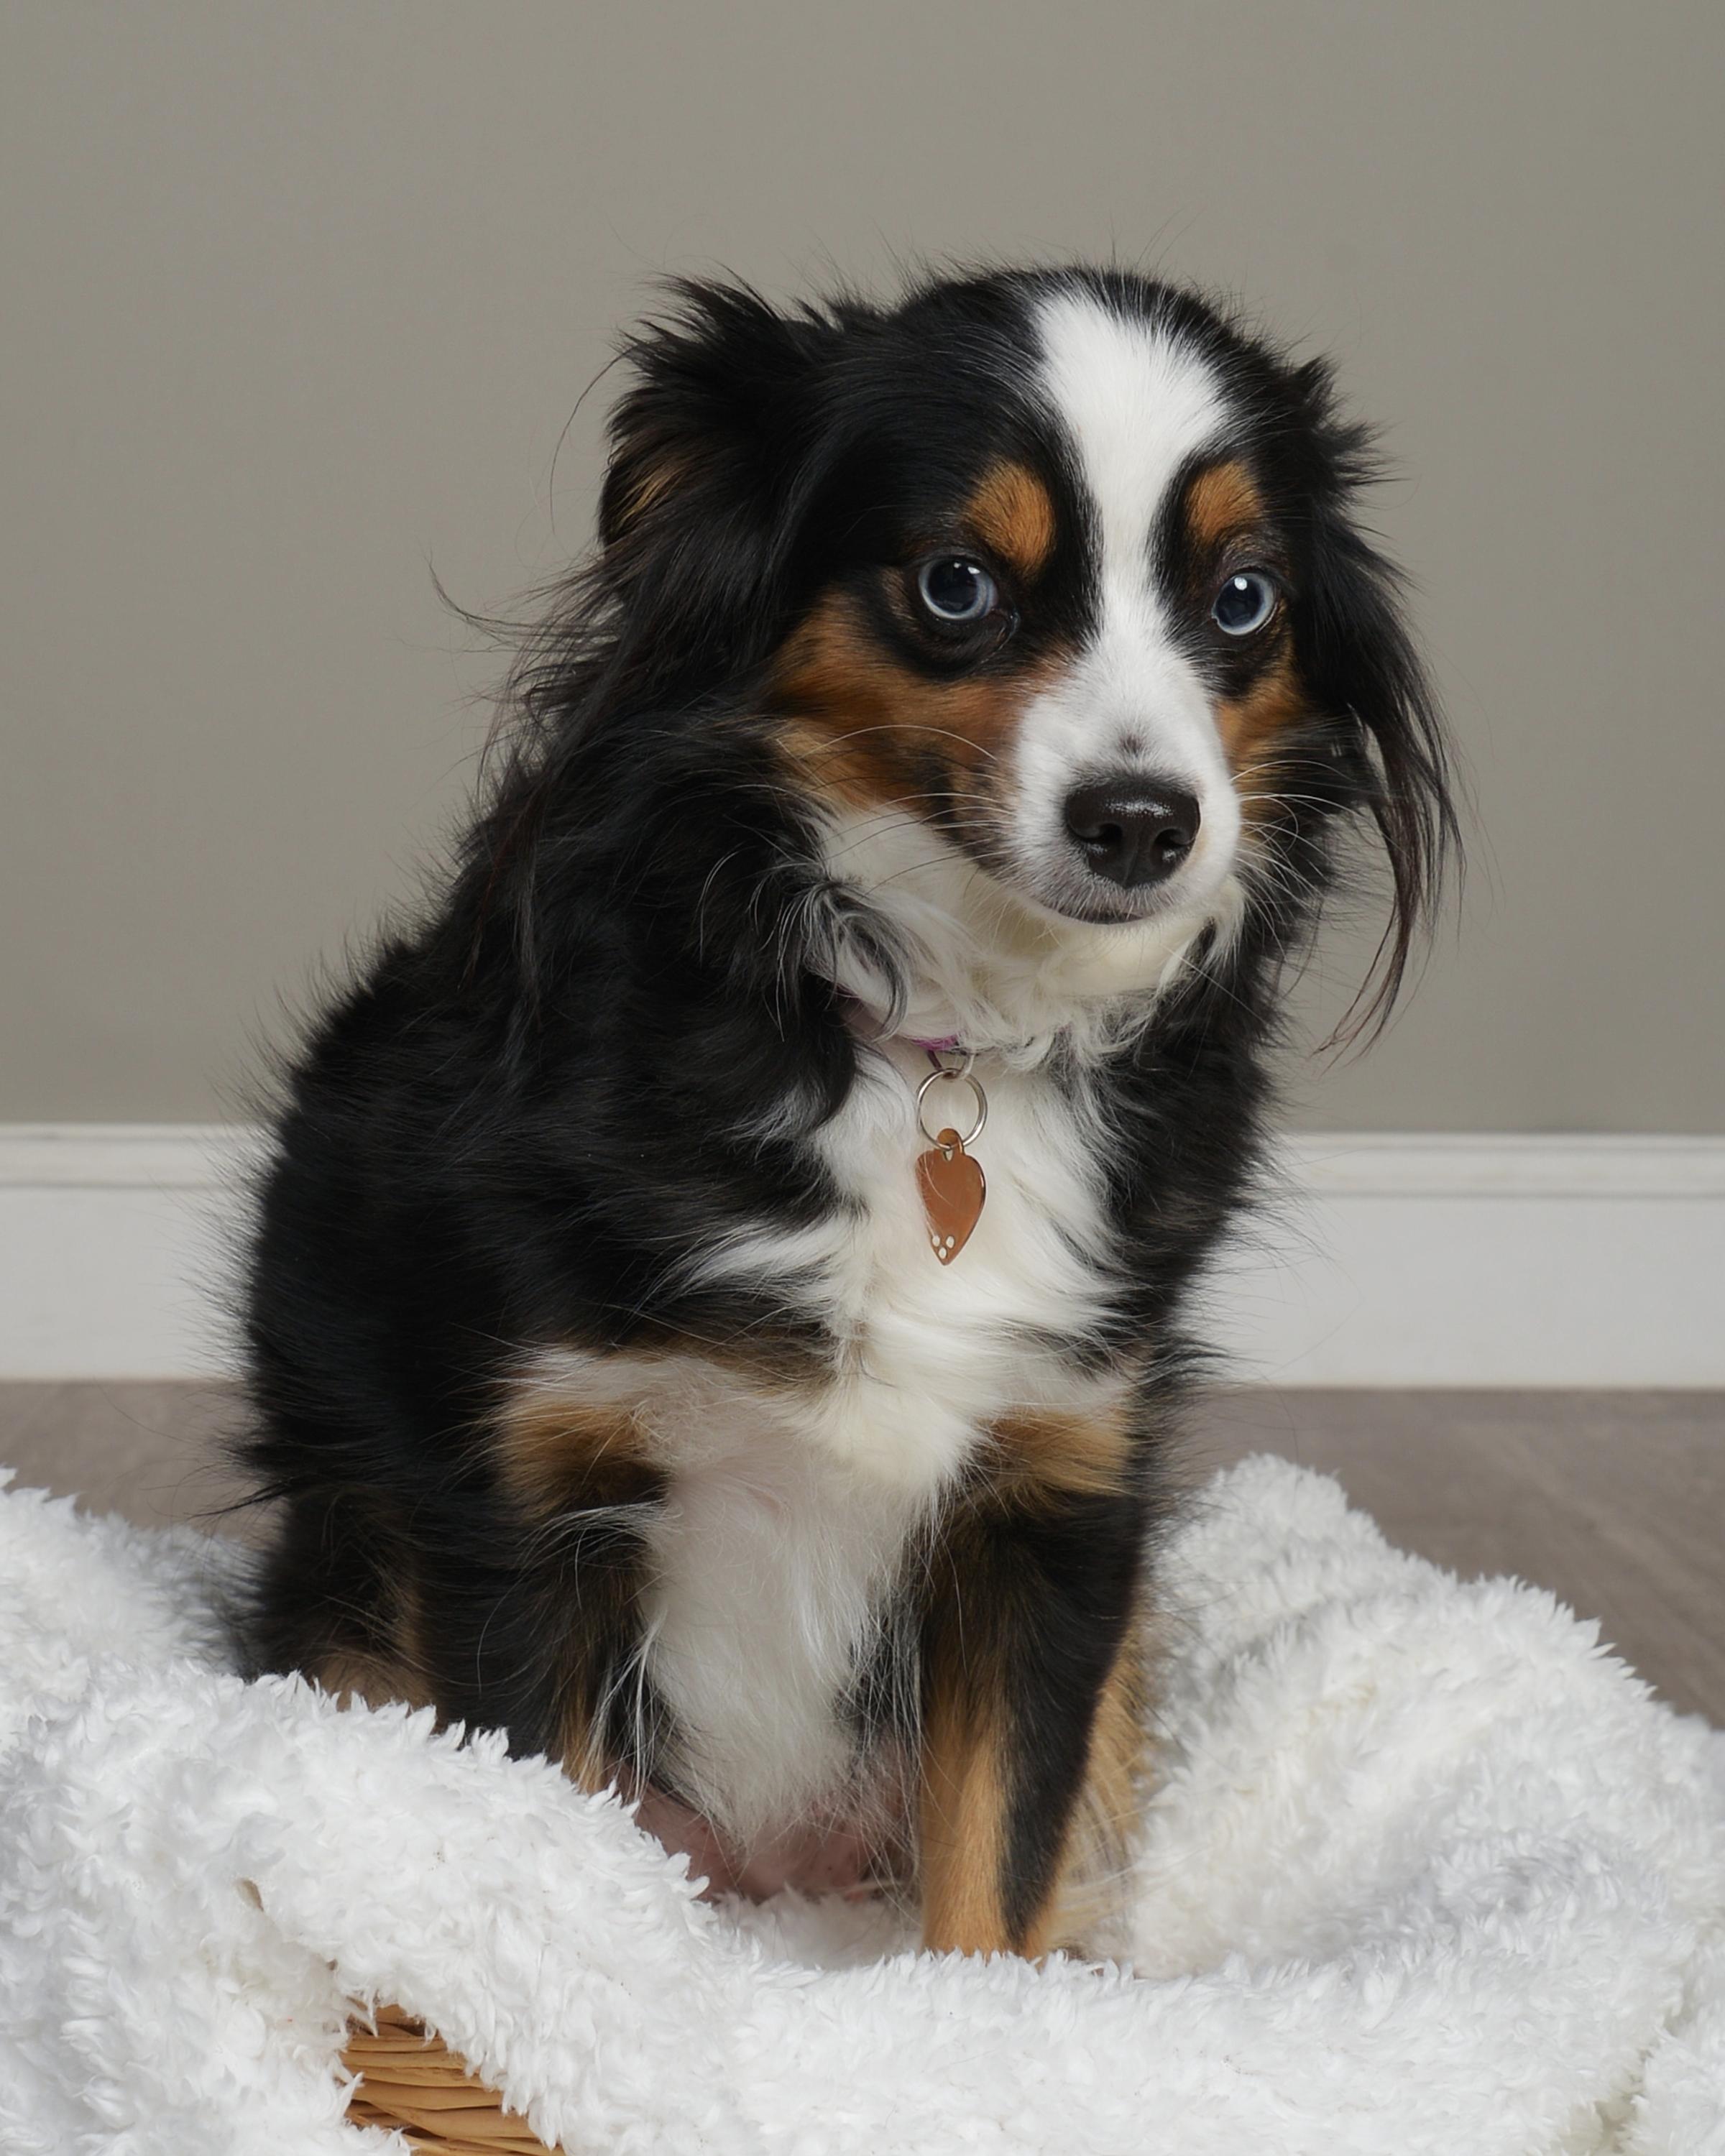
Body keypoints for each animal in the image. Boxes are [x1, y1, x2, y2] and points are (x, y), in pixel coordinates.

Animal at [238, 265, 1457, 1959]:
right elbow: (535, 1873)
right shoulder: (519, 1509)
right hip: (352, 1590)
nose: (1145, 825)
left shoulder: (1052, 1508)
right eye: (955, 586)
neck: (936, 1039)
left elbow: (996, 1878)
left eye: (1242, 601)